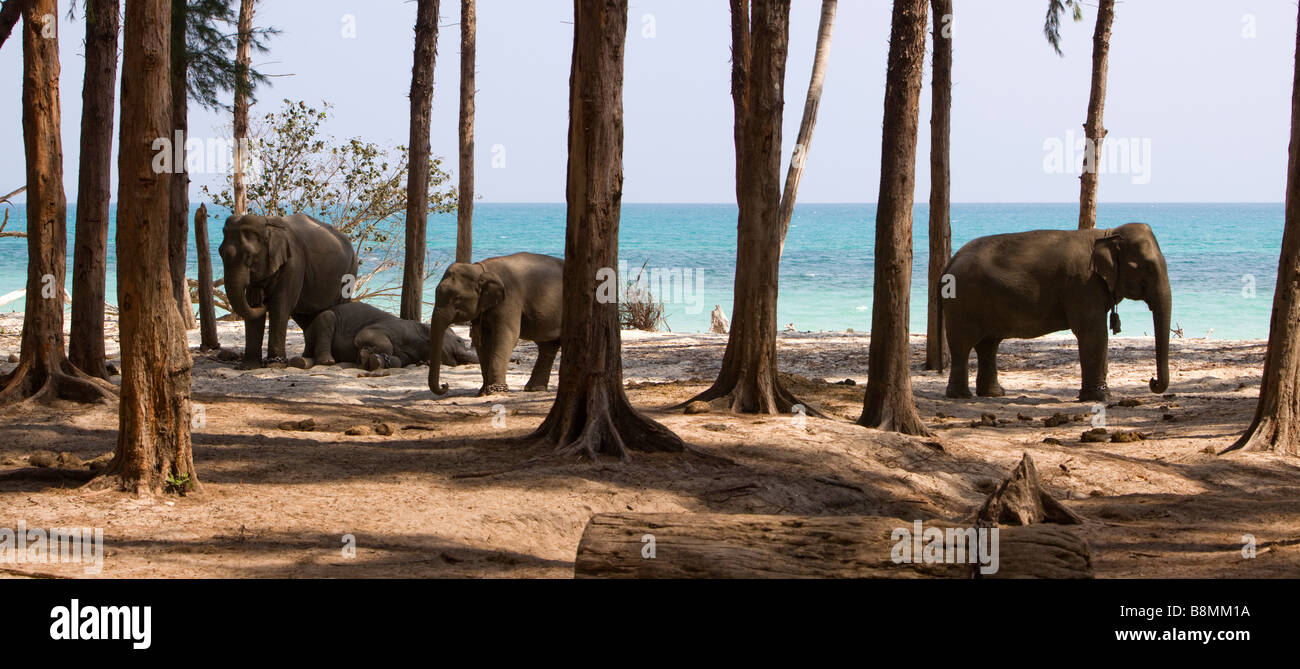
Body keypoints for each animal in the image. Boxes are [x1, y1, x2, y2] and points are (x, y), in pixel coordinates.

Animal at [219, 214, 358, 371]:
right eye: (220, 253)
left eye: (249, 255)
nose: (262, 301)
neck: (268, 225)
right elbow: (252, 311)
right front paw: (248, 366)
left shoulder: (294, 264)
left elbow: (280, 308)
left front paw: (275, 364)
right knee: (305, 316)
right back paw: (306, 359)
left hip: (349, 271)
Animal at [289, 302, 478, 371]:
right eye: (461, 341)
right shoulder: (386, 327)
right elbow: (371, 338)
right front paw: (364, 355)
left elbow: (399, 361)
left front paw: (376, 361)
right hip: (323, 320)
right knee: (326, 319)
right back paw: (326, 362)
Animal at [426, 253, 564, 397]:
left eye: (457, 298)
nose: (445, 385)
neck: (481, 269)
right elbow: (482, 342)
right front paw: (483, 391)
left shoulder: (509, 298)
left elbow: (507, 336)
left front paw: (495, 391)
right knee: (547, 346)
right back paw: (534, 389)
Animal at [941, 222, 1175, 402]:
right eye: (1146, 267)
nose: (1152, 381)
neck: (1107, 234)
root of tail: (951, 261)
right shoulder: (1083, 284)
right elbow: (1093, 333)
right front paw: (1101, 398)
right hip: (962, 302)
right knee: (963, 345)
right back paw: (961, 396)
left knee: (988, 345)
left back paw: (994, 394)